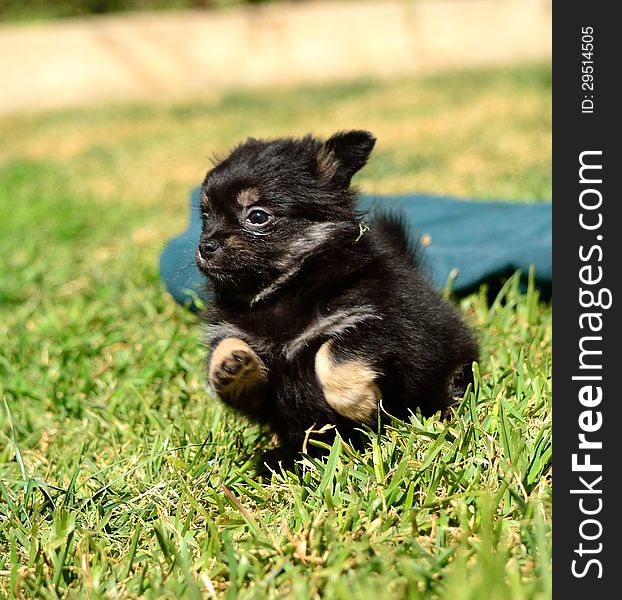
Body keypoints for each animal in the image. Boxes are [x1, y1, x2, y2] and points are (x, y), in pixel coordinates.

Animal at [197, 131, 480, 464]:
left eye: (257, 216)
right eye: (206, 217)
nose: (206, 246)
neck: (281, 290)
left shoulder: (375, 321)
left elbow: (332, 356)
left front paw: (359, 404)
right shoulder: (252, 364)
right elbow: (228, 347)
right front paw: (229, 364)